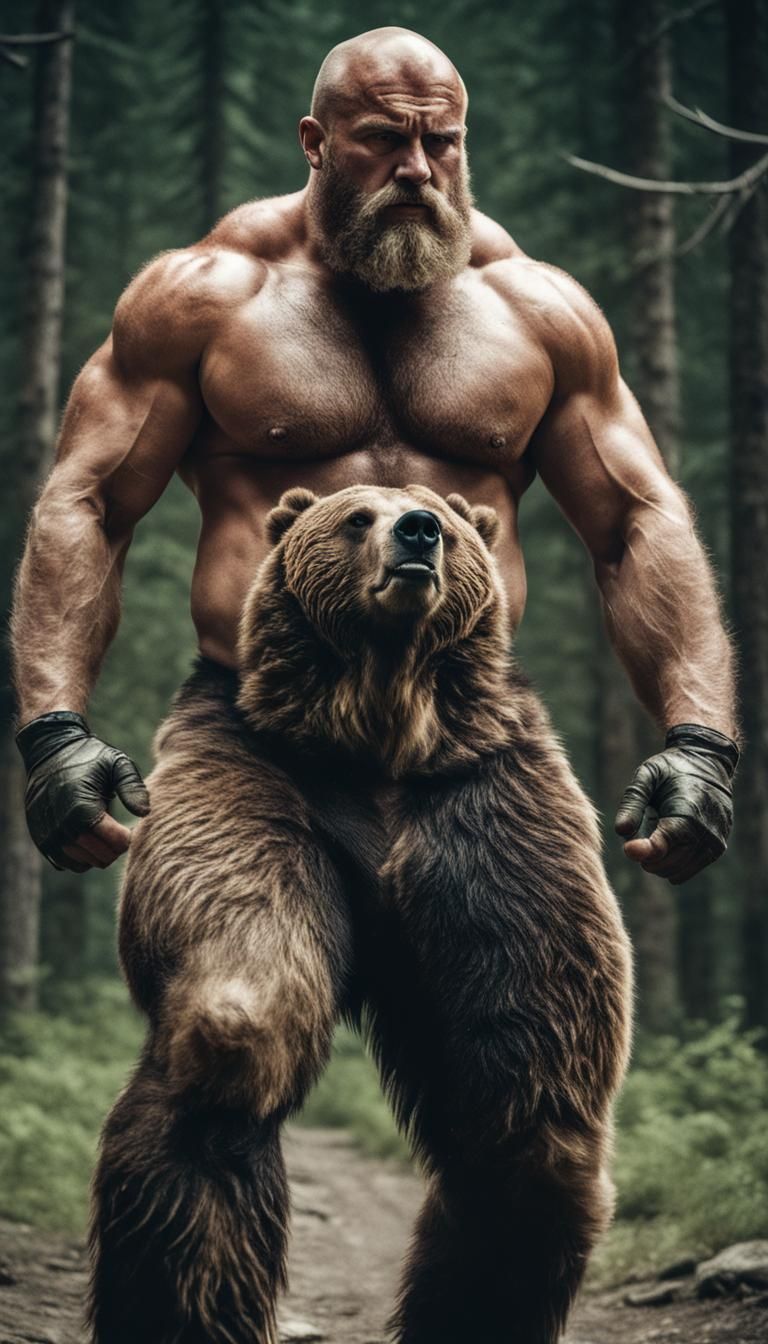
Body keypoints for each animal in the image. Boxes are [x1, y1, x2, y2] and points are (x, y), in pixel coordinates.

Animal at [89, 483, 633, 1344]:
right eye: (355, 518)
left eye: (444, 524)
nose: (419, 532)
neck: (381, 715)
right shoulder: (257, 779)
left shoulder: (488, 813)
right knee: (231, 1047)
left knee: (533, 1126)